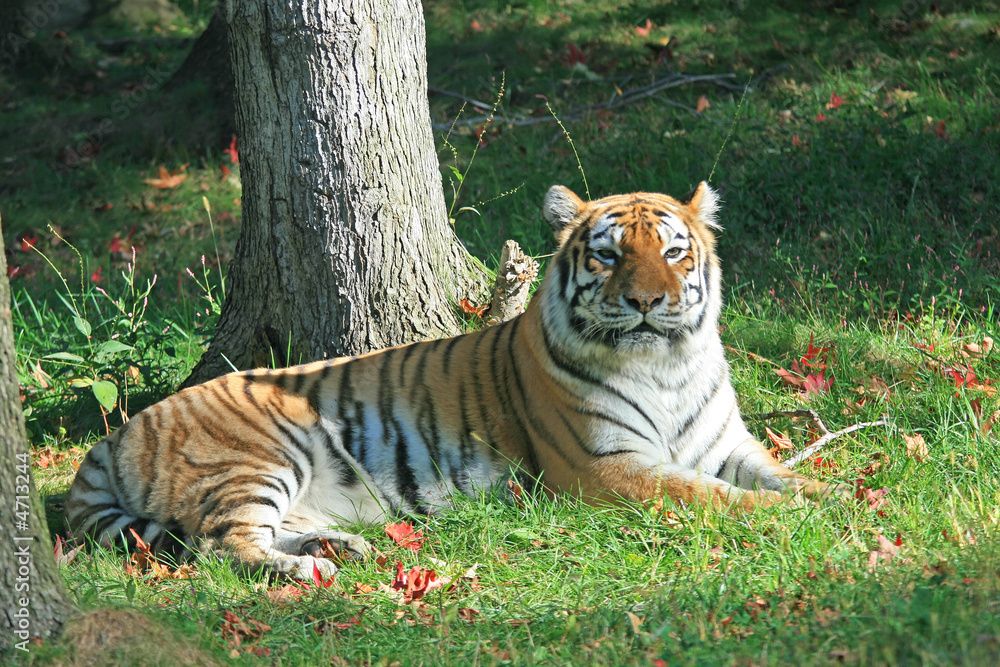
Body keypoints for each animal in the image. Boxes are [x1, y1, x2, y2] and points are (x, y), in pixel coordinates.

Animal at [65, 183, 849, 581]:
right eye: (609, 255)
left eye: (674, 251)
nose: (648, 301)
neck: (669, 366)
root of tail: (120, 431)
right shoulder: (606, 466)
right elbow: (706, 496)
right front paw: (784, 518)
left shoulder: (727, 445)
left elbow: (785, 477)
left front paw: (841, 497)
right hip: (257, 456)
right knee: (220, 545)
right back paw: (312, 573)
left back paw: (338, 548)